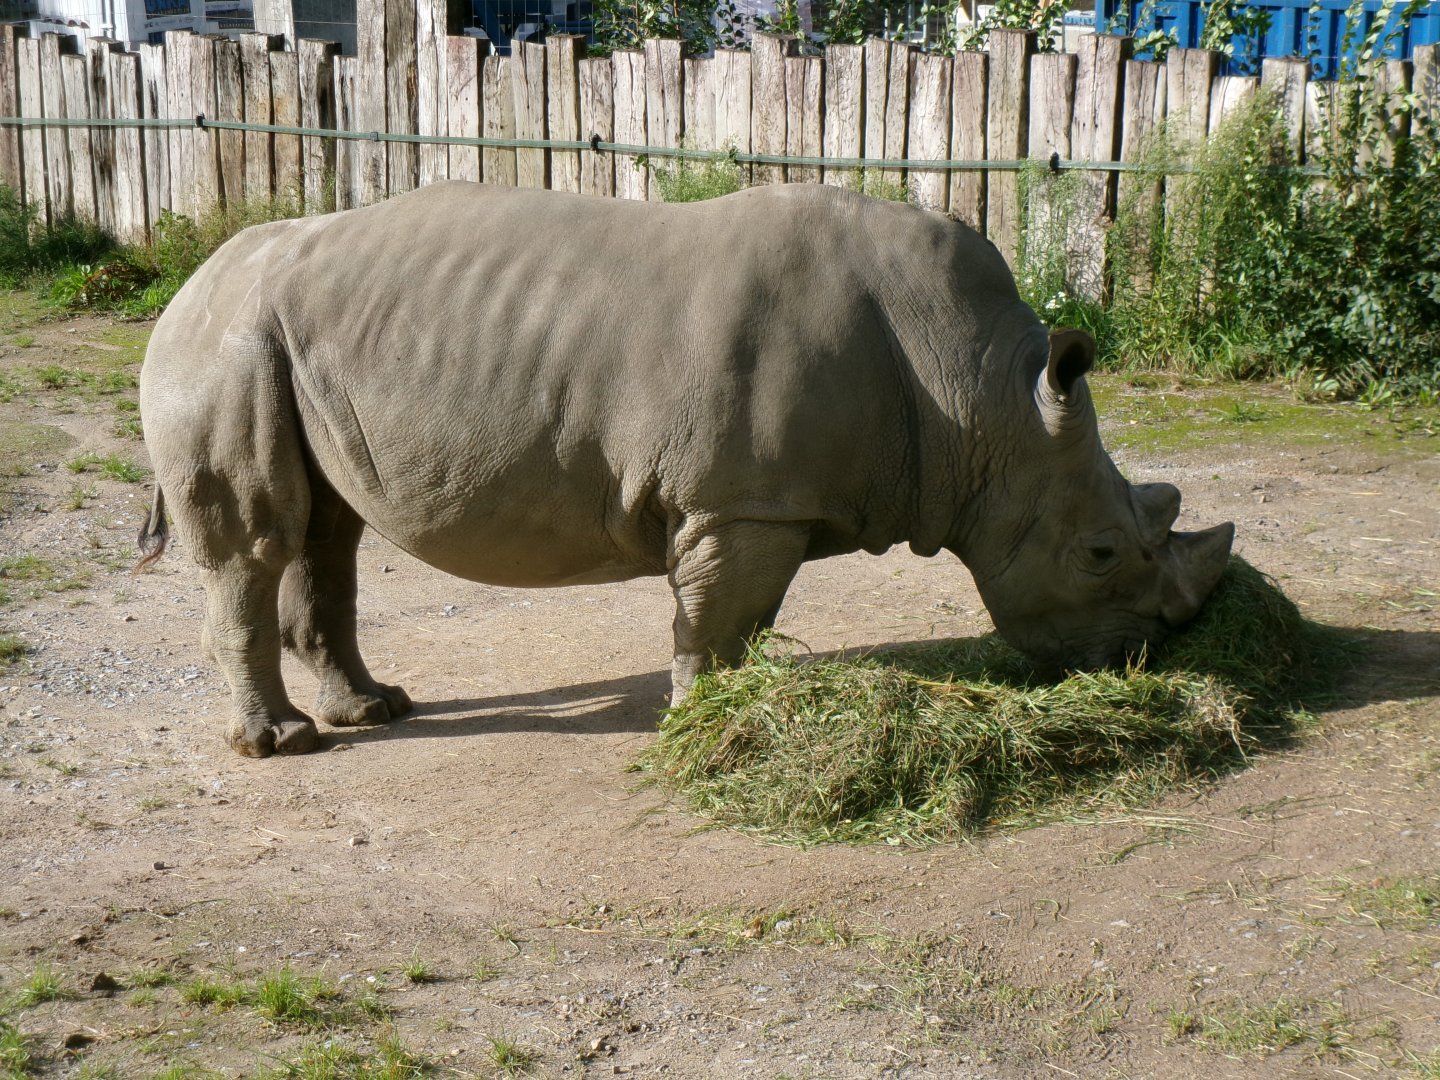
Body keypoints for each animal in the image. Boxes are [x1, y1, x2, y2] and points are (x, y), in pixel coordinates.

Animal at [138, 181, 1234, 758]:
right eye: (1101, 553)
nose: (1147, 652)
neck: (982, 400)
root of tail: (190, 282)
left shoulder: (759, 503)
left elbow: (738, 621)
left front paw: (727, 720)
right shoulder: (742, 502)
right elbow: (720, 618)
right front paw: (706, 727)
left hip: (278, 341)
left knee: (330, 532)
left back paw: (374, 710)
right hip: (225, 346)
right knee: (259, 544)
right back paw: (284, 746)